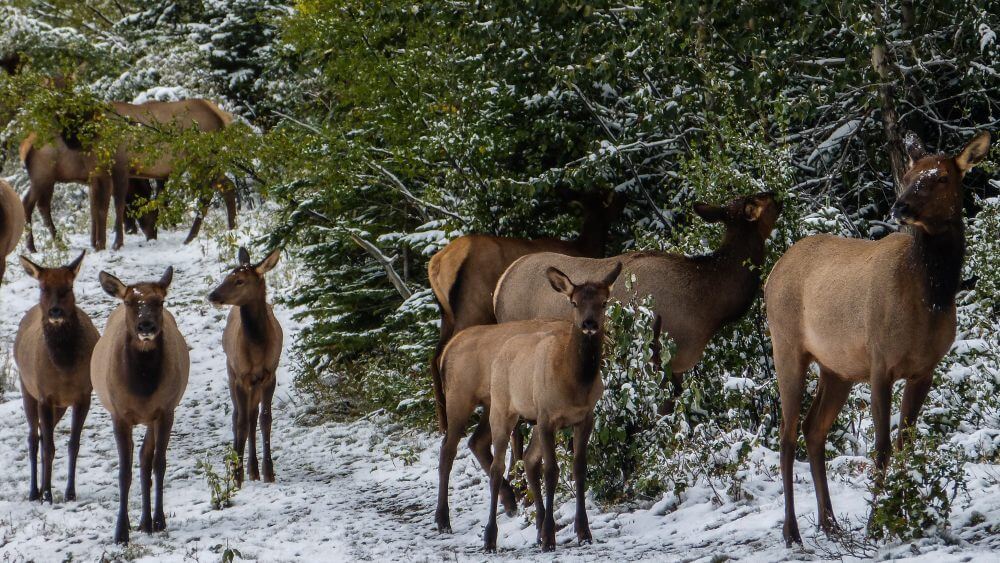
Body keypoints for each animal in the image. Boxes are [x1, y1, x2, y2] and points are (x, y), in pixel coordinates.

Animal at [14, 251, 99, 503]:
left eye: (68, 287)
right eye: (43, 287)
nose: (55, 311)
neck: (64, 370)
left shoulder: (83, 395)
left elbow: (73, 444)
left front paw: (70, 492)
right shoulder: (44, 395)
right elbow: (49, 447)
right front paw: (48, 494)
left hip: (59, 406)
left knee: (42, 435)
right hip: (26, 388)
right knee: (34, 438)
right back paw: (35, 491)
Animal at [91, 266, 190, 544]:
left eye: (160, 301)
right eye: (129, 302)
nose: (146, 325)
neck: (142, 388)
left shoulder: (165, 410)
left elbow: (158, 464)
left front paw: (159, 520)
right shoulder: (119, 414)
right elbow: (124, 472)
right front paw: (120, 532)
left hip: (153, 418)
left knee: (146, 459)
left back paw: (146, 521)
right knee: (139, 457)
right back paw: (138, 521)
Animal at [208, 247, 283, 485]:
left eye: (240, 281)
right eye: (226, 277)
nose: (213, 295)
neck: (257, 349)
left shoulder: (270, 375)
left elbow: (265, 419)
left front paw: (269, 472)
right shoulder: (241, 376)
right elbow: (240, 422)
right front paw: (236, 475)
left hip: (255, 383)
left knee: (252, 415)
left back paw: (253, 469)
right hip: (231, 372)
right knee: (238, 416)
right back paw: (244, 467)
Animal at [437, 262, 621, 552]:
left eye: (605, 302)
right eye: (574, 302)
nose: (589, 324)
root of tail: (446, 352)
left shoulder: (584, 417)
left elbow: (577, 467)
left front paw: (581, 531)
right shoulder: (546, 417)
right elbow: (551, 469)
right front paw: (549, 536)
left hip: (494, 406)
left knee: (480, 443)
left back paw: (511, 504)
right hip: (460, 398)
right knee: (449, 449)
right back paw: (447, 520)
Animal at [764, 131, 990, 546]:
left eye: (941, 177)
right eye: (910, 175)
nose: (901, 206)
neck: (929, 297)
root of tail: (772, 274)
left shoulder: (924, 370)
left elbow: (905, 445)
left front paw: (902, 515)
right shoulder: (880, 364)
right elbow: (882, 448)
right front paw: (876, 524)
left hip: (837, 369)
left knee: (813, 429)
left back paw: (830, 523)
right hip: (786, 348)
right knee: (786, 435)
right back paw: (792, 532)